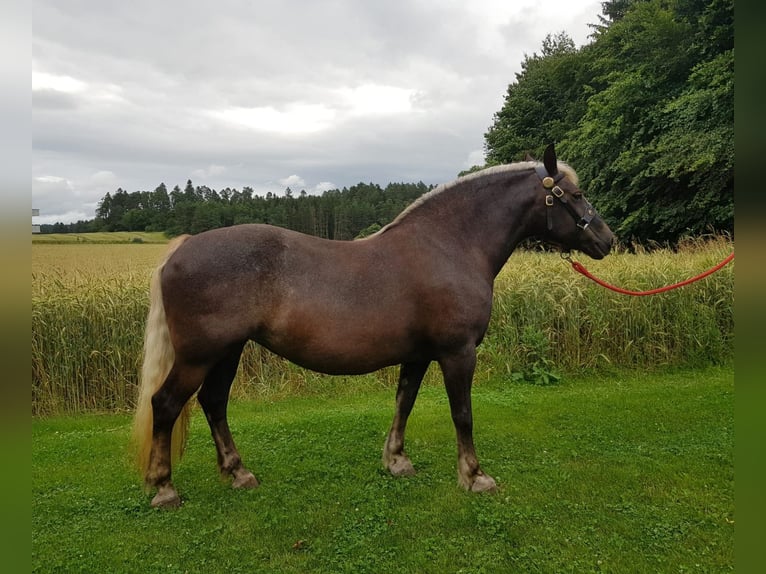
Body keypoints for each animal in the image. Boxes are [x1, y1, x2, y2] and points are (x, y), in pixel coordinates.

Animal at [130, 145, 612, 508]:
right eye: (575, 193)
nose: (607, 239)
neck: (450, 246)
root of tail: (183, 247)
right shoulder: (457, 353)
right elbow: (462, 414)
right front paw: (474, 475)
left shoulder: (419, 355)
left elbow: (405, 402)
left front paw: (396, 461)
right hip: (200, 355)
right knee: (166, 404)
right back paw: (165, 488)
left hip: (227, 352)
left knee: (213, 403)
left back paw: (238, 473)